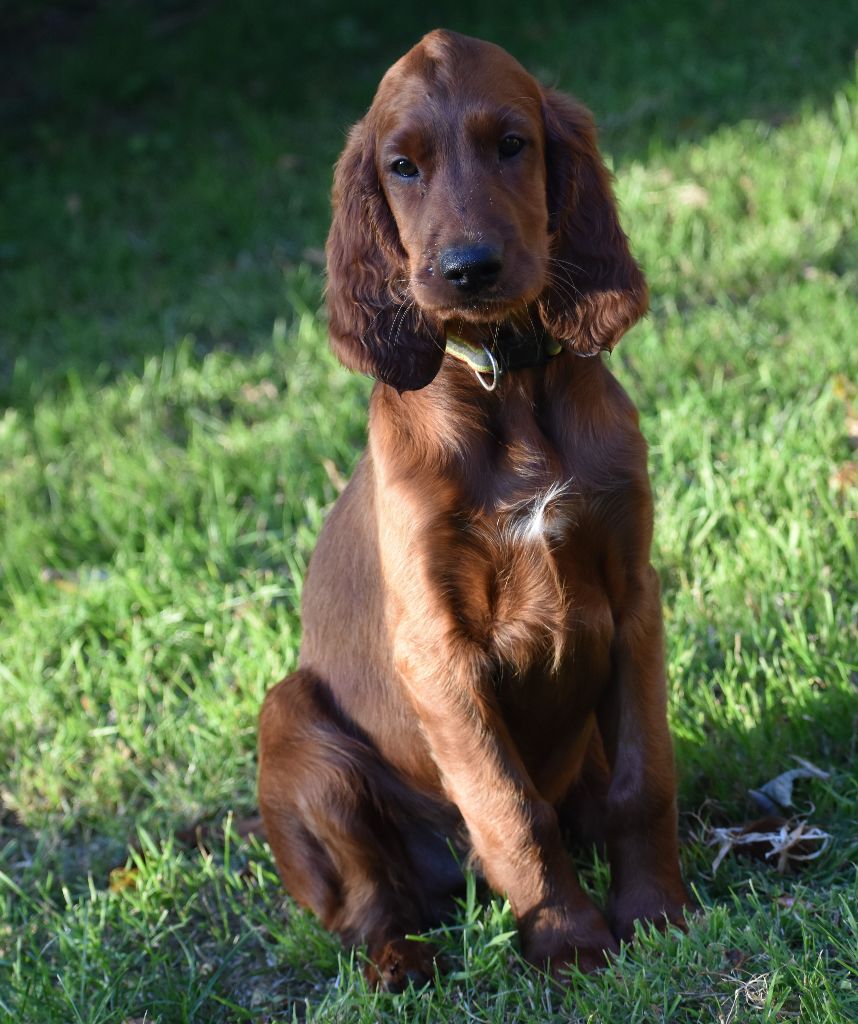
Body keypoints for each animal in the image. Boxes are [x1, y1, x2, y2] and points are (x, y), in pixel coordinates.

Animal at [259, 29, 696, 991]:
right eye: (402, 166)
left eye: (512, 145)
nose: (469, 270)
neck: (507, 384)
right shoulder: (438, 649)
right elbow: (510, 809)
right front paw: (570, 942)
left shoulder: (634, 598)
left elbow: (643, 779)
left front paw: (658, 914)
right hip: (292, 723)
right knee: (364, 909)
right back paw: (400, 962)